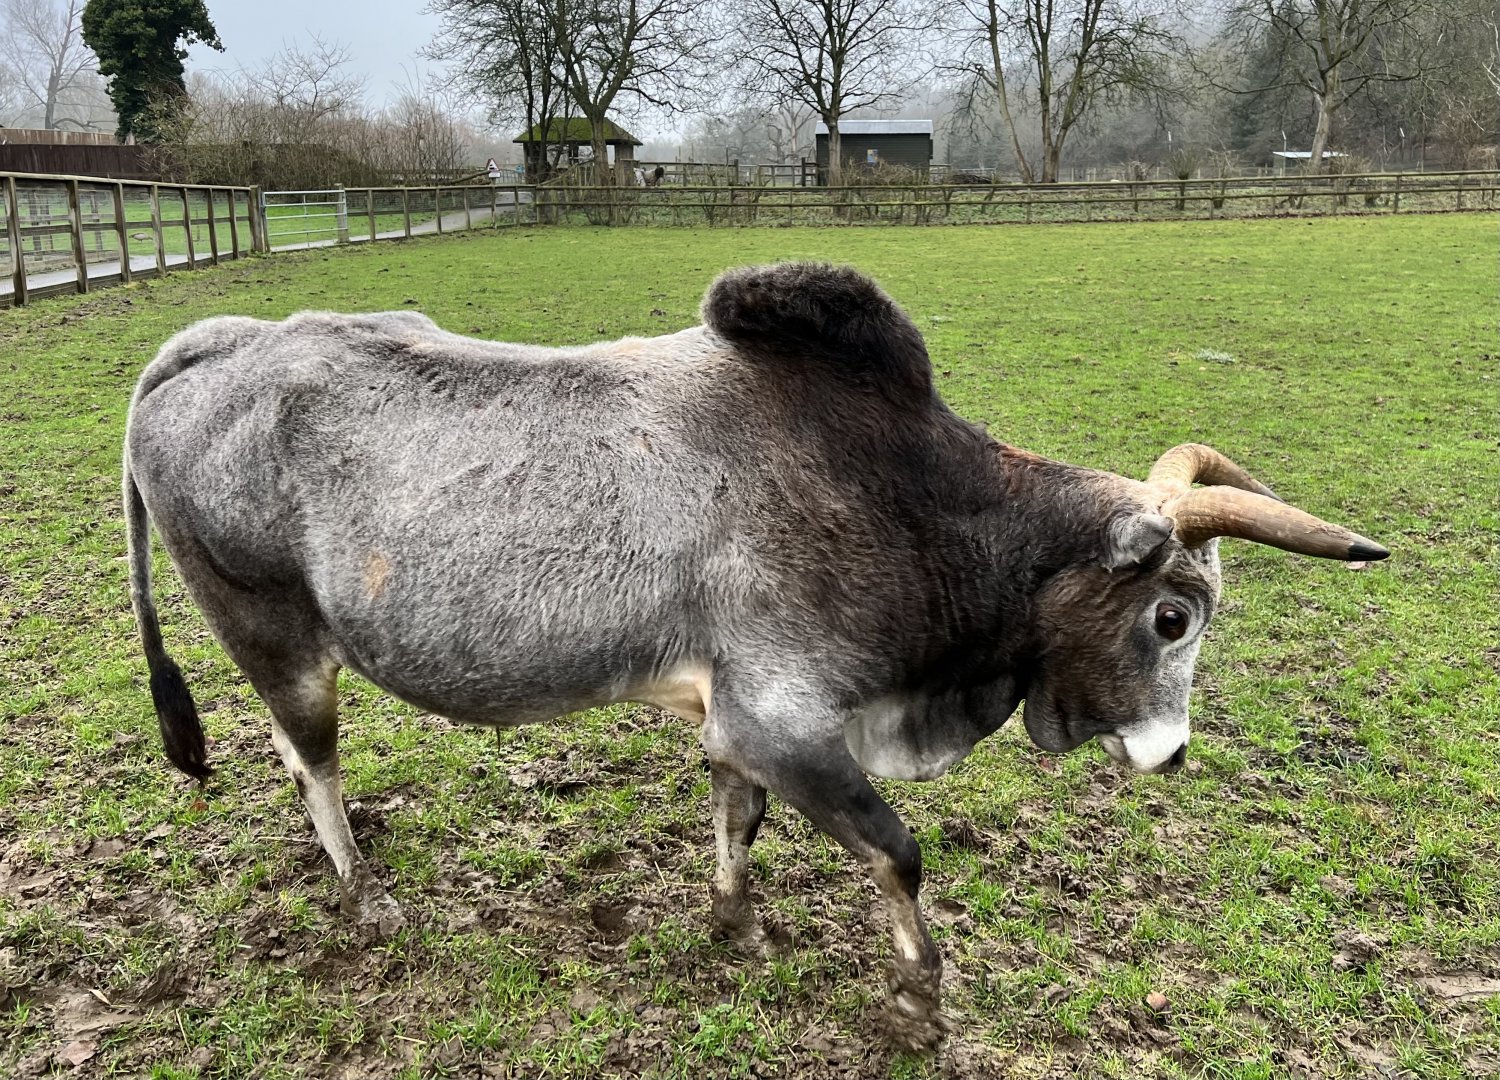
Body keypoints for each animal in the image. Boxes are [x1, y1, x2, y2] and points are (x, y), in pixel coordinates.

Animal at [123, 263, 1387, 1047]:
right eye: (1174, 616)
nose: (1172, 755)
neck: (915, 503)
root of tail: (216, 344)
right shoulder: (789, 722)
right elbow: (897, 853)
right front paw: (921, 999)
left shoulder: (736, 721)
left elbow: (738, 820)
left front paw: (734, 921)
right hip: (275, 635)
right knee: (311, 762)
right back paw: (365, 893)